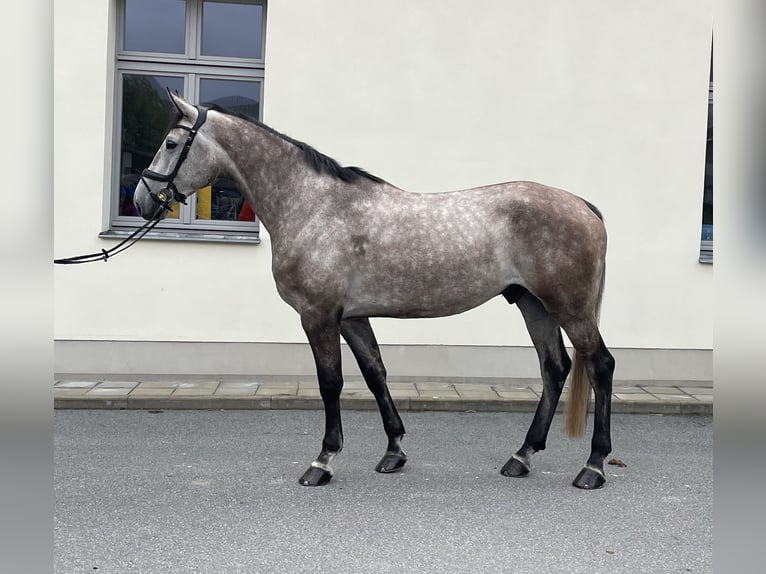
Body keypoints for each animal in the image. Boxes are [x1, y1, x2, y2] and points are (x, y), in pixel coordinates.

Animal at [135, 93, 616, 490]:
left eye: (172, 144)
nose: (141, 198)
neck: (313, 206)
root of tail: (583, 205)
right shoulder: (351, 316)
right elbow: (374, 374)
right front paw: (393, 452)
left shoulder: (318, 315)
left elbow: (331, 382)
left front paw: (323, 461)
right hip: (534, 304)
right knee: (554, 368)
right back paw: (522, 456)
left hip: (569, 307)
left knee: (600, 365)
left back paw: (593, 466)